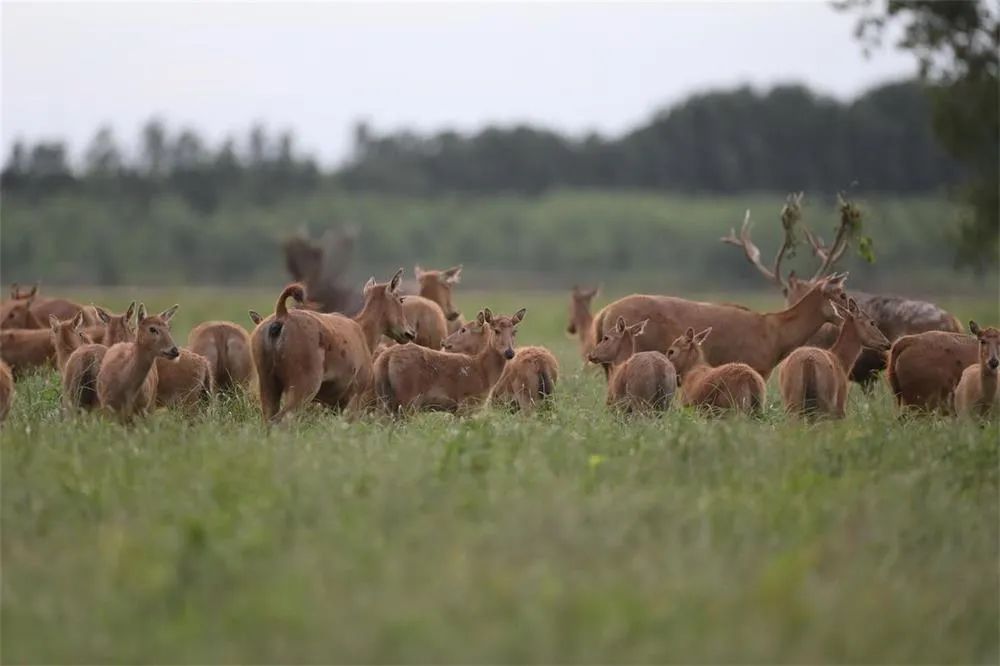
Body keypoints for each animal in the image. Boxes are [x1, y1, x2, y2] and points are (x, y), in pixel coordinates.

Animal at [254, 268, 418, 420]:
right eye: (400, 299)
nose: (410, 333)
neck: (363, 333)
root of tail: (282, 315)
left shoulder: (333, 403)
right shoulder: (355, 394)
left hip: (268, 383)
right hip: (303, 385)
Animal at [376, 308, 528, 412]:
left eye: (514, 332)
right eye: (496, 330)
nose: (509, 352)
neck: (483, 372)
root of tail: (386, 358)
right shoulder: (467, 403)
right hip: (408, 396)